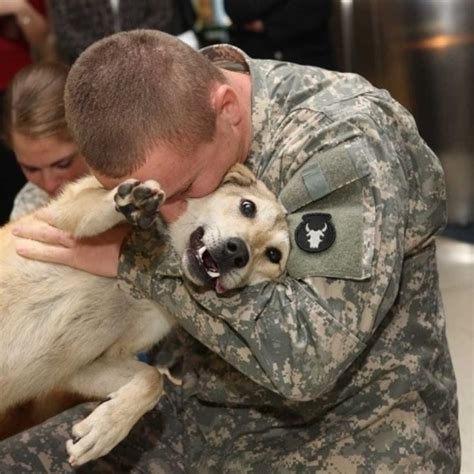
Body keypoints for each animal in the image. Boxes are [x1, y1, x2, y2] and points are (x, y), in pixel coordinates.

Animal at [0, 165, 288, 464]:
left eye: (273, 255)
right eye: (247, 207)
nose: (237, 253)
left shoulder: (82, 367)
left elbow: (153, 380)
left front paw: (105, 429)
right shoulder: (60, 216)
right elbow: (91, 208)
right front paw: (131, 204)